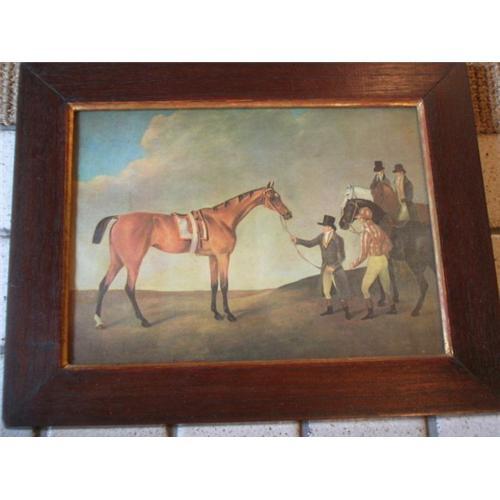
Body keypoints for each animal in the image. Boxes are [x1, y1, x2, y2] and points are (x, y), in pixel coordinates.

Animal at [91, 181, 292, 328]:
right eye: (273, 197)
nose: (288, 214)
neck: (221, 220)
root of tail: (119, 217)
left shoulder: (212, 257)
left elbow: (213, 285)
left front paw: (216, 313)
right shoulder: (223, 256)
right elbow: (225, 285)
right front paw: (229, 314)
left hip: (117, 260)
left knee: (103, 285)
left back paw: (100, 321)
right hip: (133, 261)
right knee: (129, 288)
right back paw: (144, 320)